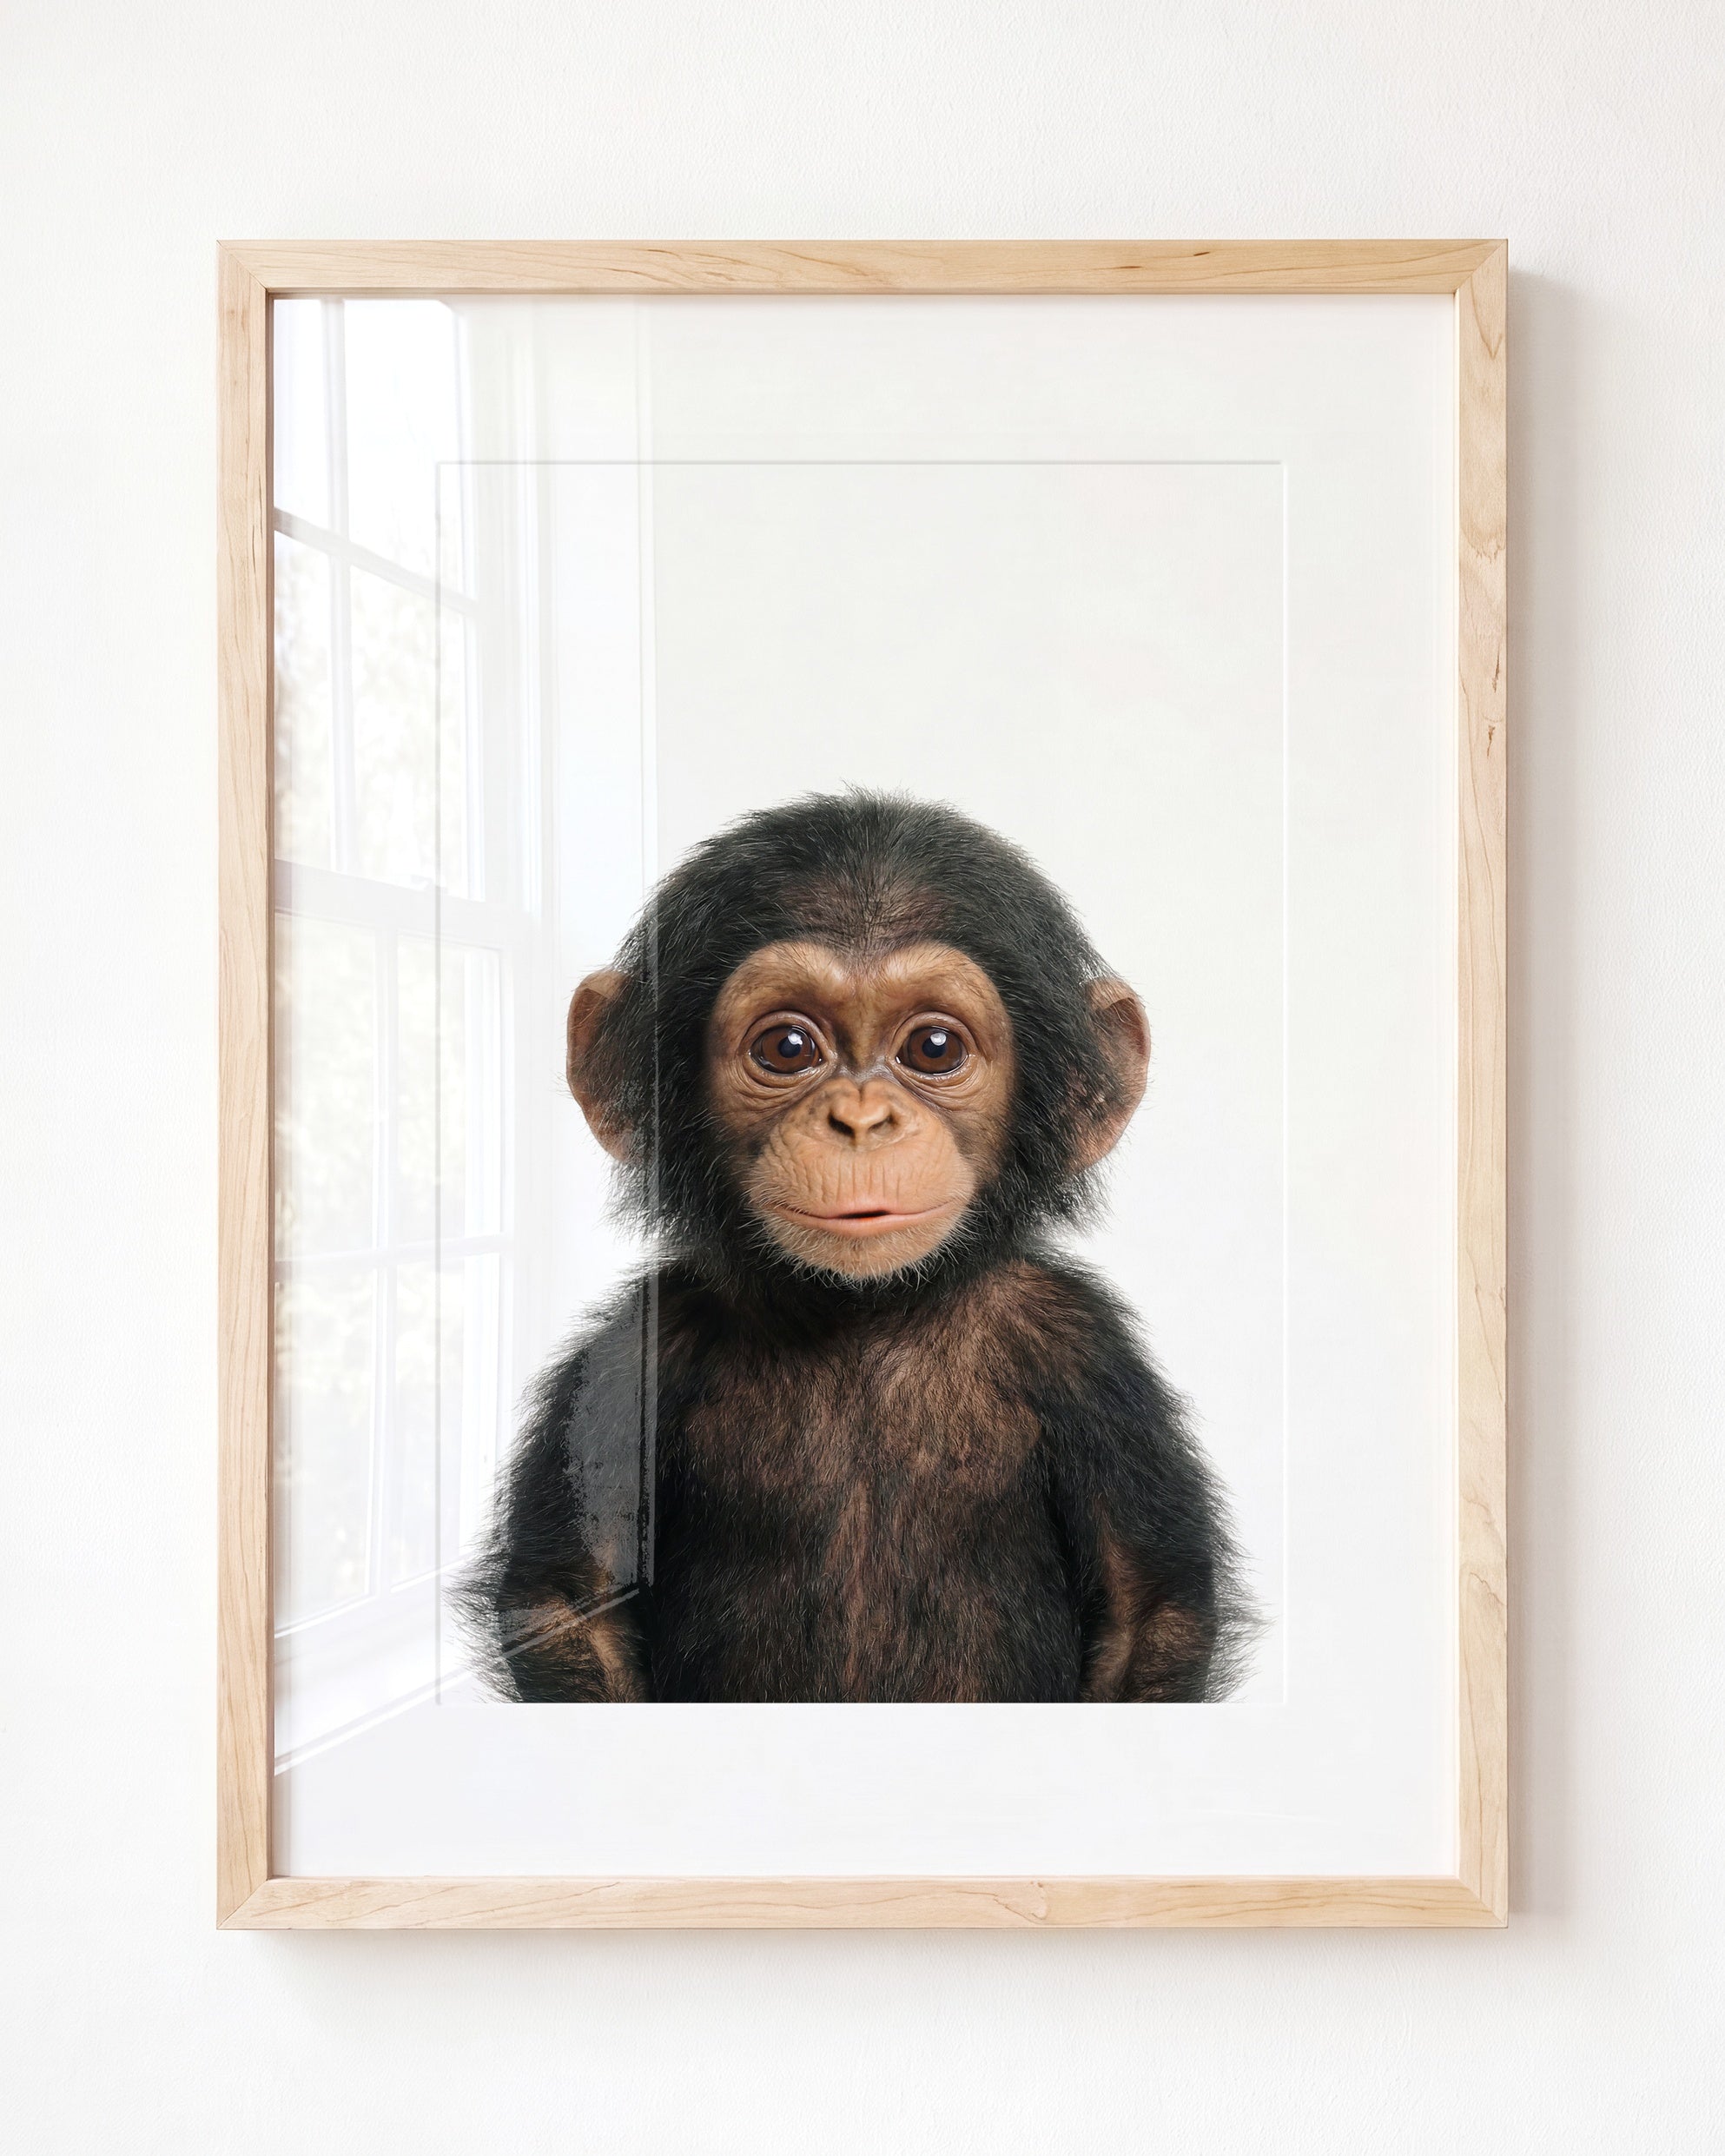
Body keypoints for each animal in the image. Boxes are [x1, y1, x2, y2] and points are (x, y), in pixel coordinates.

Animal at [458, 792, 1255, 1703]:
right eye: (787, 1048)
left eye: (934, 1048)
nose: (862, 1120)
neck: (865, 1314)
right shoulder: (635, 1351)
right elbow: (571, 1600)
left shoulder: (1085, 1352)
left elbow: (1147, 1609)